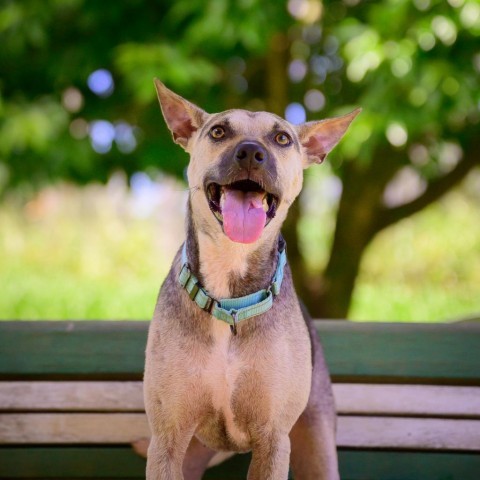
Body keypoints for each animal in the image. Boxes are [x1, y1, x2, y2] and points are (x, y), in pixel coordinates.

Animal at [144, 79, 358, 480]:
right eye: (218, 131)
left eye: (282, 138)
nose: (250, 152)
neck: (229, 299)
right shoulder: (167, 441)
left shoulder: (273, 441)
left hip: (317, 446)